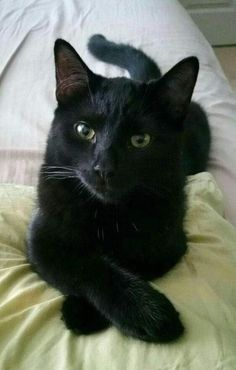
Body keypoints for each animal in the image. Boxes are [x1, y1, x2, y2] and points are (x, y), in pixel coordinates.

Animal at [26, 35, 211, 344]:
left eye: (140, 140)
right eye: (84, 130)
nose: (104, 168)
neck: (106, 213)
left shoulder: (167, 244)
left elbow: (129, 260)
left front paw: (90, 311)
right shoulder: (41, 239)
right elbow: (83, 265)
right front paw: (150, 314)